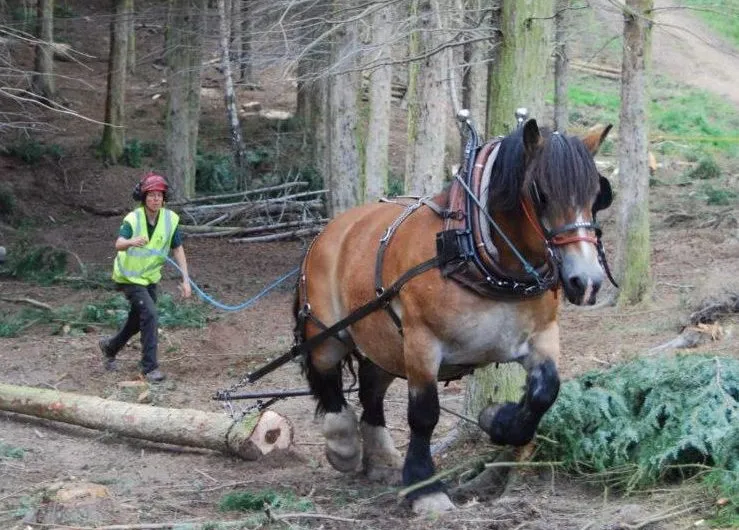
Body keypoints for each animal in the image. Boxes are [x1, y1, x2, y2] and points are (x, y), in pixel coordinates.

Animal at [293, 118, 614, 514]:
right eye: (541, 194)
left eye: (598, 196)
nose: (586, 281)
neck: (471, 248)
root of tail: (329, 231)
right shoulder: (422, 342)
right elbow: (424, 414)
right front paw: (425, 487)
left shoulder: (541, 335)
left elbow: (546, 391)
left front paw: (497, 419)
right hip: (330, 333)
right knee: (327, 376)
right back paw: (344, 446)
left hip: (384, 343)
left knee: (371, 387)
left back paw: (380, 458)